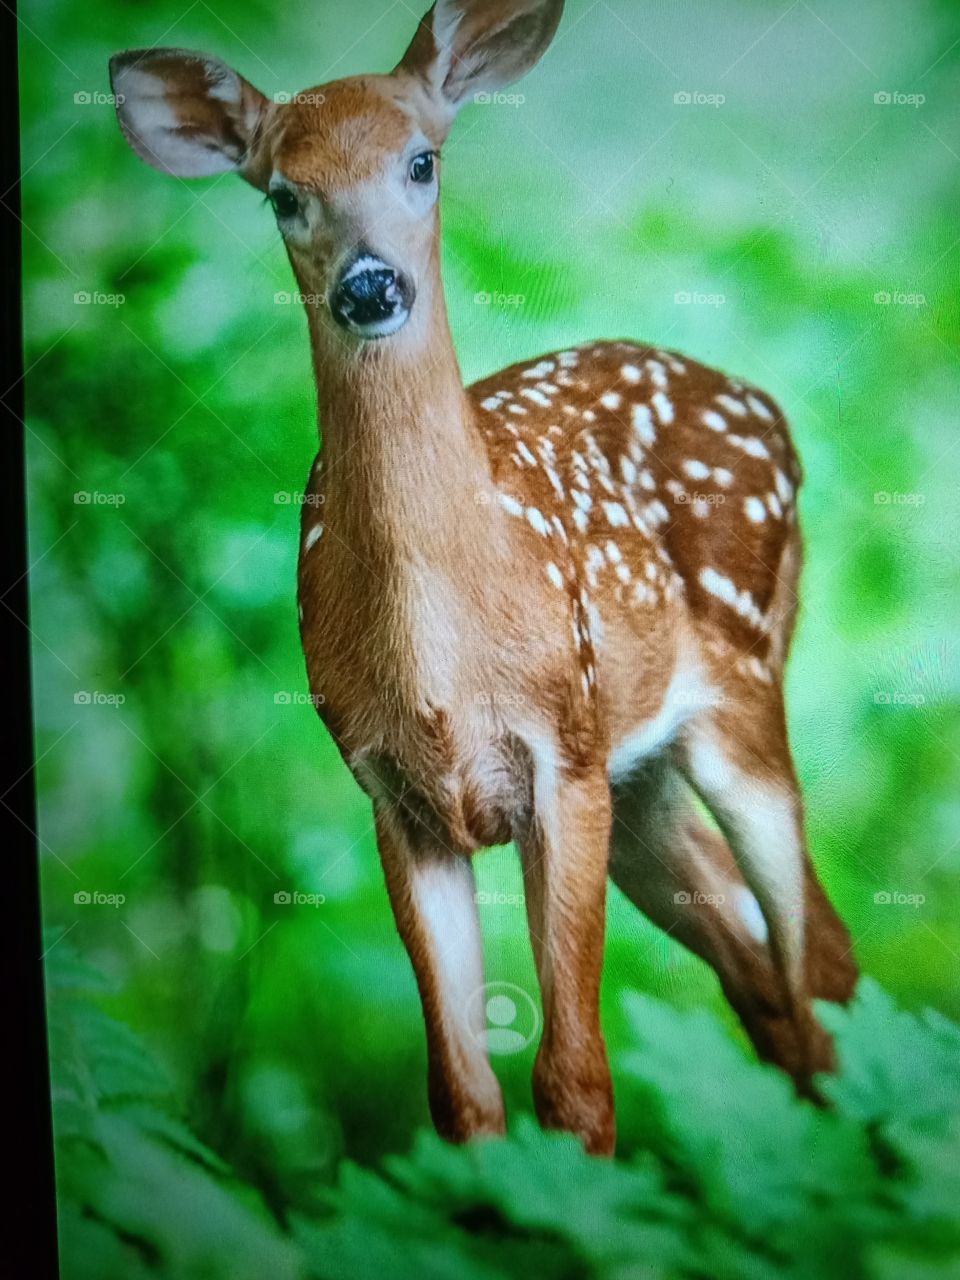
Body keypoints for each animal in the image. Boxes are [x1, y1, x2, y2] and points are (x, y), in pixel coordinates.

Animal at [110, 0, 858, 1156]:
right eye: (284, 193)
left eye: (423, 161)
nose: (370, 285)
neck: (439, 655)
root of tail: (766, 404)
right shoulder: (393, 791)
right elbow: (462, 1094)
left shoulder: (564, 754)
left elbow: (577, 1080)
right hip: (644, 780)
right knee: (765, 975)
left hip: (737, 690)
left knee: (818, 955)